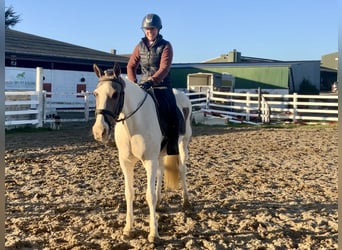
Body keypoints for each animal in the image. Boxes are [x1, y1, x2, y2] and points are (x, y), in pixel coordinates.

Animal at [91, 62, 192, 242]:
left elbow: (149, 195)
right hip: (161, 153)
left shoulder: (149, 161)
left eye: (115, 94)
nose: (99, 131)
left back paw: (186, 201)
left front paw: (153, 233)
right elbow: (129, 193)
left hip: (183, 143)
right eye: (96, 94)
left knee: (182, 169)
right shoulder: (125, 162)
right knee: (161, 171)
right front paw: (128, 229)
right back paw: (160, 203)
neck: (133, 123)